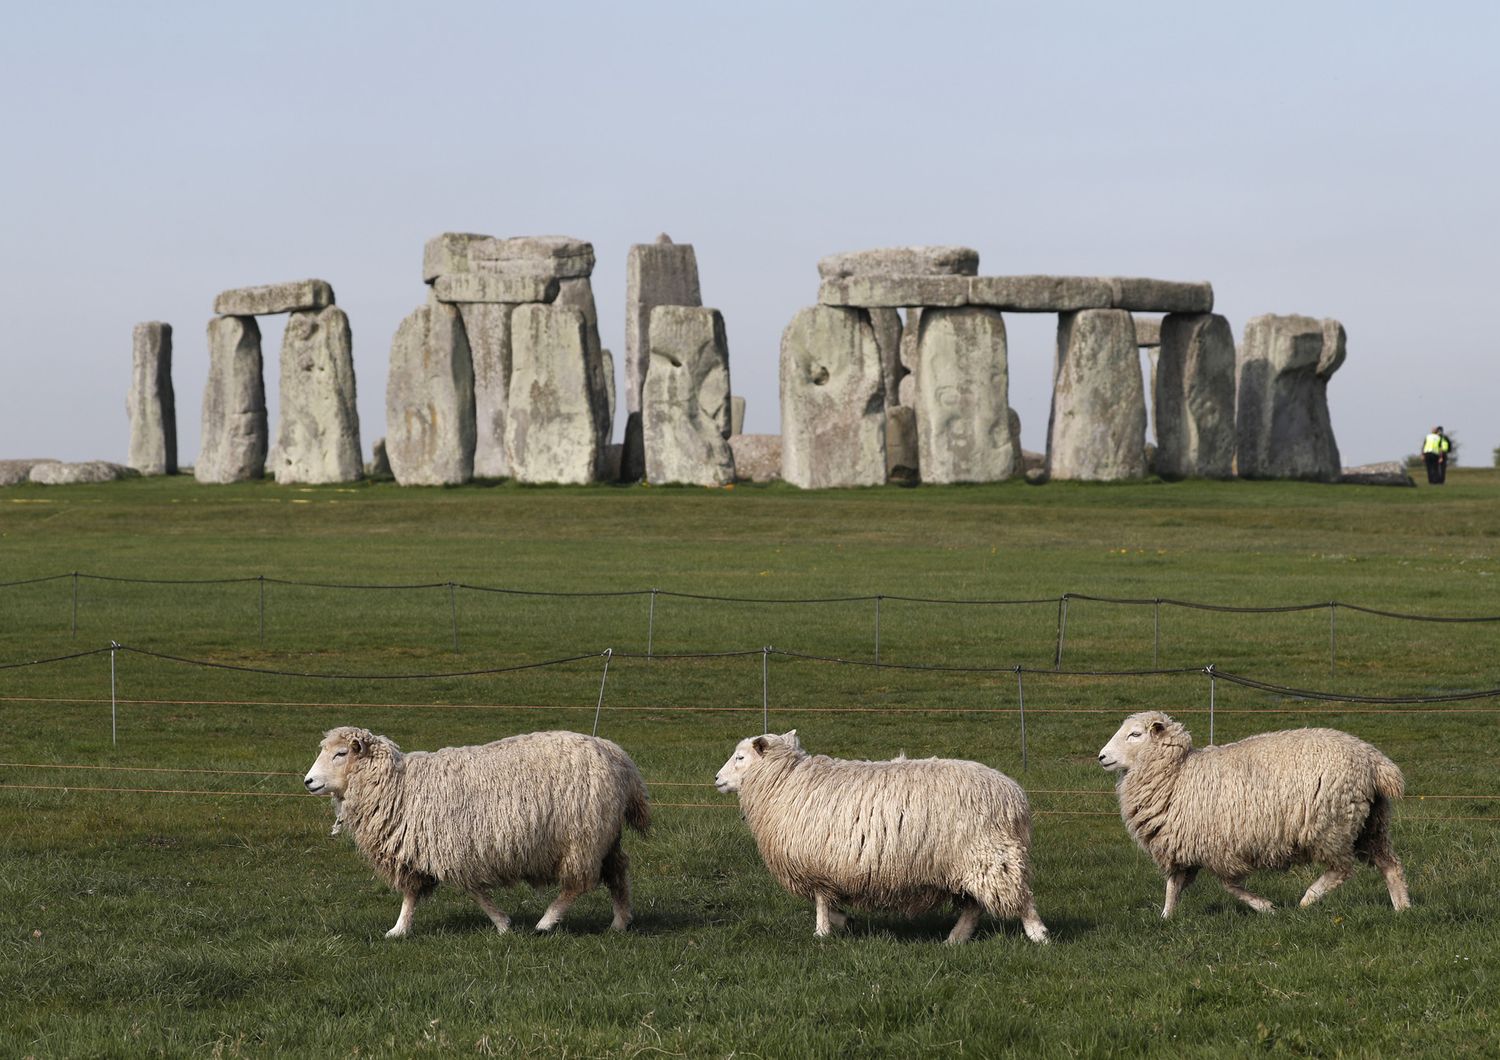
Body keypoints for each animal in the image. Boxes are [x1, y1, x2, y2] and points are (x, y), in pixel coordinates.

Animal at [304, 728, 651, 935]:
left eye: (340, 754)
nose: (308, 781)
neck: (399, 786)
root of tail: (619, 757)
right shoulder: (418, 850)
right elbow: (411, 895)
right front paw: (399, 929)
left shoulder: (453, 848)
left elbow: (474, 891)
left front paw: (502, 923)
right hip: (604, 835)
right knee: (618, 869)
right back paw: (620, 922)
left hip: (582, 838)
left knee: (577, 884)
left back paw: (546, 921)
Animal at [711, 728, 1044, 947]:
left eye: (739, 757)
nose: (716, 778)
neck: (786, 781)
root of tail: (1015, 795)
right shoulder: (826, 868)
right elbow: (828, 902)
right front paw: (844, 921)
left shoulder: (816, 864)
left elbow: (819, 901)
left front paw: (822, 933)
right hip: (968, 862)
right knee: (974, 906)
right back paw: (955, 939)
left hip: (990, 854)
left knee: (1019, 898)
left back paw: (1038, 935)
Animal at [1098, 713, 1410, 917]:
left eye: (1135, 734)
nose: (1101, 756)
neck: (1177, 774)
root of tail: (1374, 760)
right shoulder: (1181, 846)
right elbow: (1173, 886)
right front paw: (1166, 918)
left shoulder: (1219, 847)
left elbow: (1229, 885)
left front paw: (1265, 907)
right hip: (1371, 823)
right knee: (1390, 865)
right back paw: (1403, 908)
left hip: (1331, 825)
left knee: (1341, 869)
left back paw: (1308, 899)